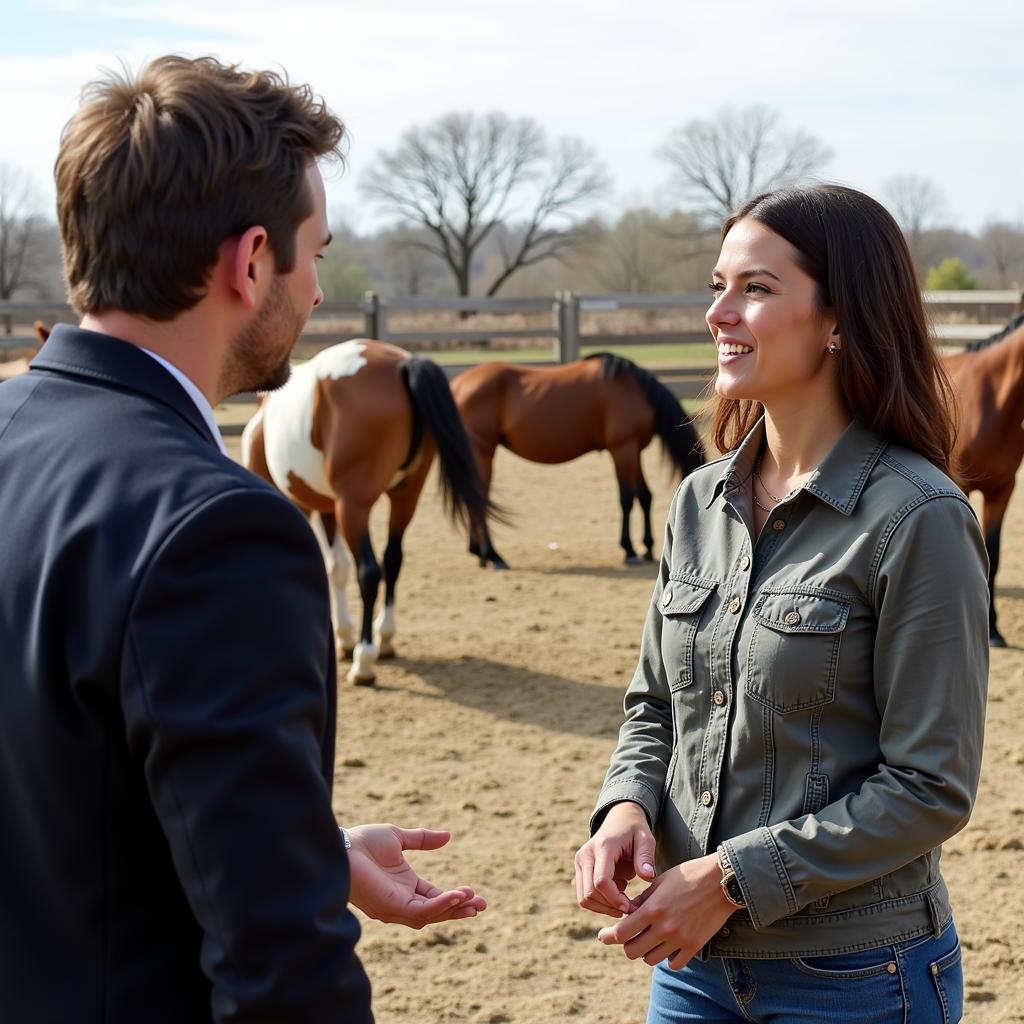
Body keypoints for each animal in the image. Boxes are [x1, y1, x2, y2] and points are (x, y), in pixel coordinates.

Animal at [243, 339, 491, 684]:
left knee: (370, 571)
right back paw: (384, 639)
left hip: (354, 507)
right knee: (393, 560)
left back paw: (365, 660)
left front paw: (346, 641)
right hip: (404, 498)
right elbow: (336, 568)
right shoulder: (327, 507)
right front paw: (344, 637)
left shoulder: (301, 507)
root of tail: (401, 364)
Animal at [452, 352, 708, 569]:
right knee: (479, 498)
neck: (635, 389)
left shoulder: (634, 450)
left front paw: (647, 548)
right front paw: (630, 550)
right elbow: (626, 498)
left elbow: (644, 496)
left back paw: (479, 552)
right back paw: (493, 556)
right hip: (483, 451)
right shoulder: (623, 449)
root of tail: (459, 384)